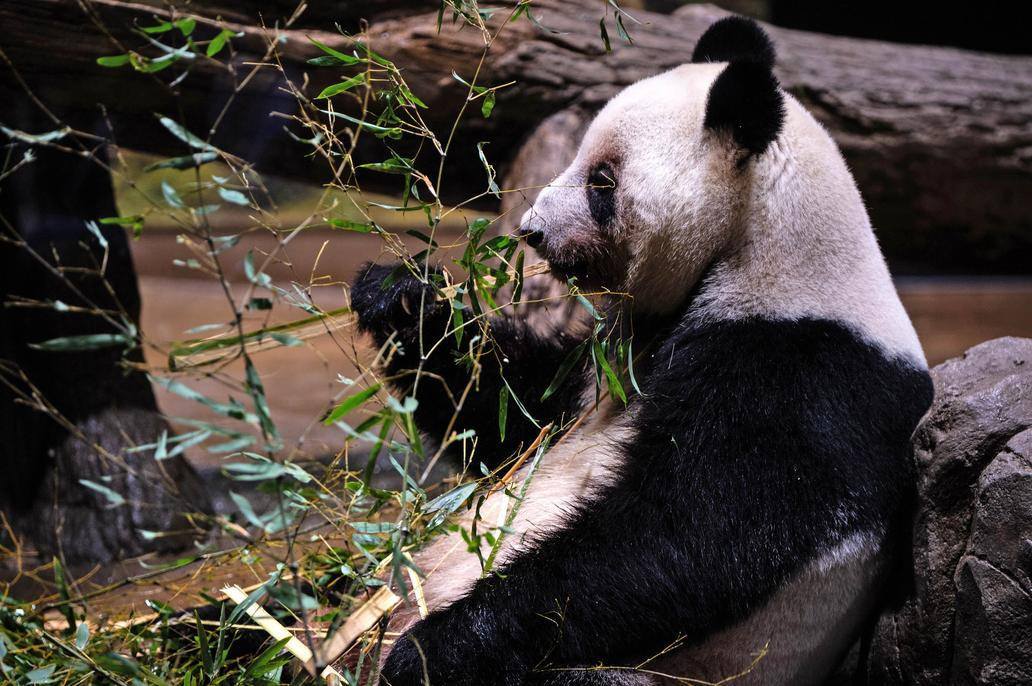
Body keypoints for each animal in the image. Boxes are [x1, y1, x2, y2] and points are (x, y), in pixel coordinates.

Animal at [349, 16, 934, 686]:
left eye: (602, 180)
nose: (532, 230)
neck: (763, 246)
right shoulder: (612, 355)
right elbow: (514, 414)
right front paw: (402, 300)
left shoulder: (799, 370)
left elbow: (686, 539)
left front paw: (429, 648)